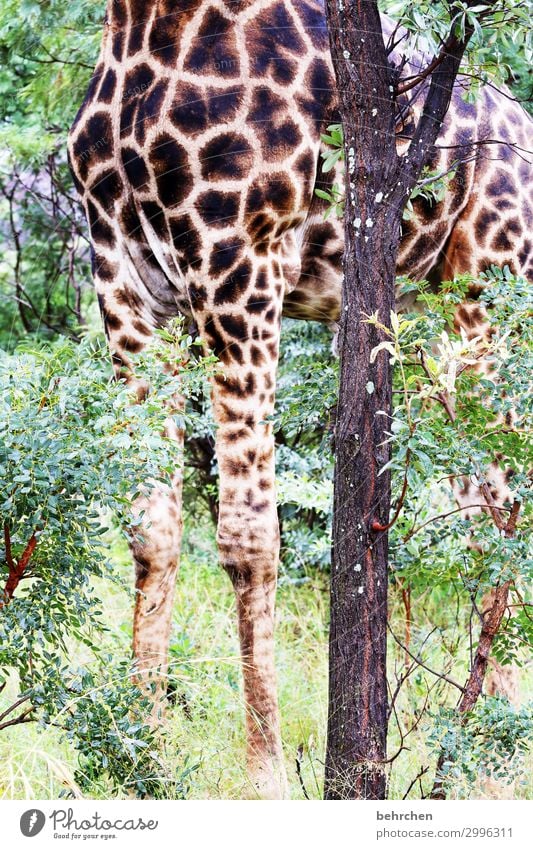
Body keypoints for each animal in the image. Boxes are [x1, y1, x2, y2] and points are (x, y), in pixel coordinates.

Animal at [67, 0, 532, 796]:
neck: (145, 24)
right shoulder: (126, 285)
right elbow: (151, 528)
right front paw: (143, 754)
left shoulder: (237, 265)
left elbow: (247, 536)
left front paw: (265, 778)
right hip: (434, 316)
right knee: (485, 517)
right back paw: (485, 758)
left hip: (490, 297)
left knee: (505, 512)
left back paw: (495, 769)